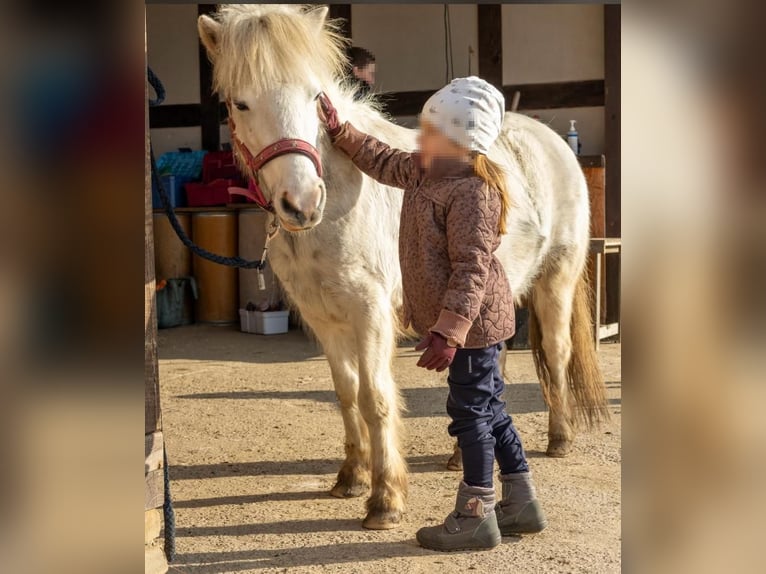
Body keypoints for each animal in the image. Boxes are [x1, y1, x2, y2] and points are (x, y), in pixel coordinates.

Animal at [197, 4, 608, 530]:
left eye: (315, 97)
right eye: (241, 104)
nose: (302, 204)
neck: (340, 201)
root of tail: (551, 139)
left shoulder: (370, 313)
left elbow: (375, 398)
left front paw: (385, 499)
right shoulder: (324, 320)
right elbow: (347, 393)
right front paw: (351, 478)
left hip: (555, 281)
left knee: (556, 354)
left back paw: (560, 438)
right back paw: (460, 457)